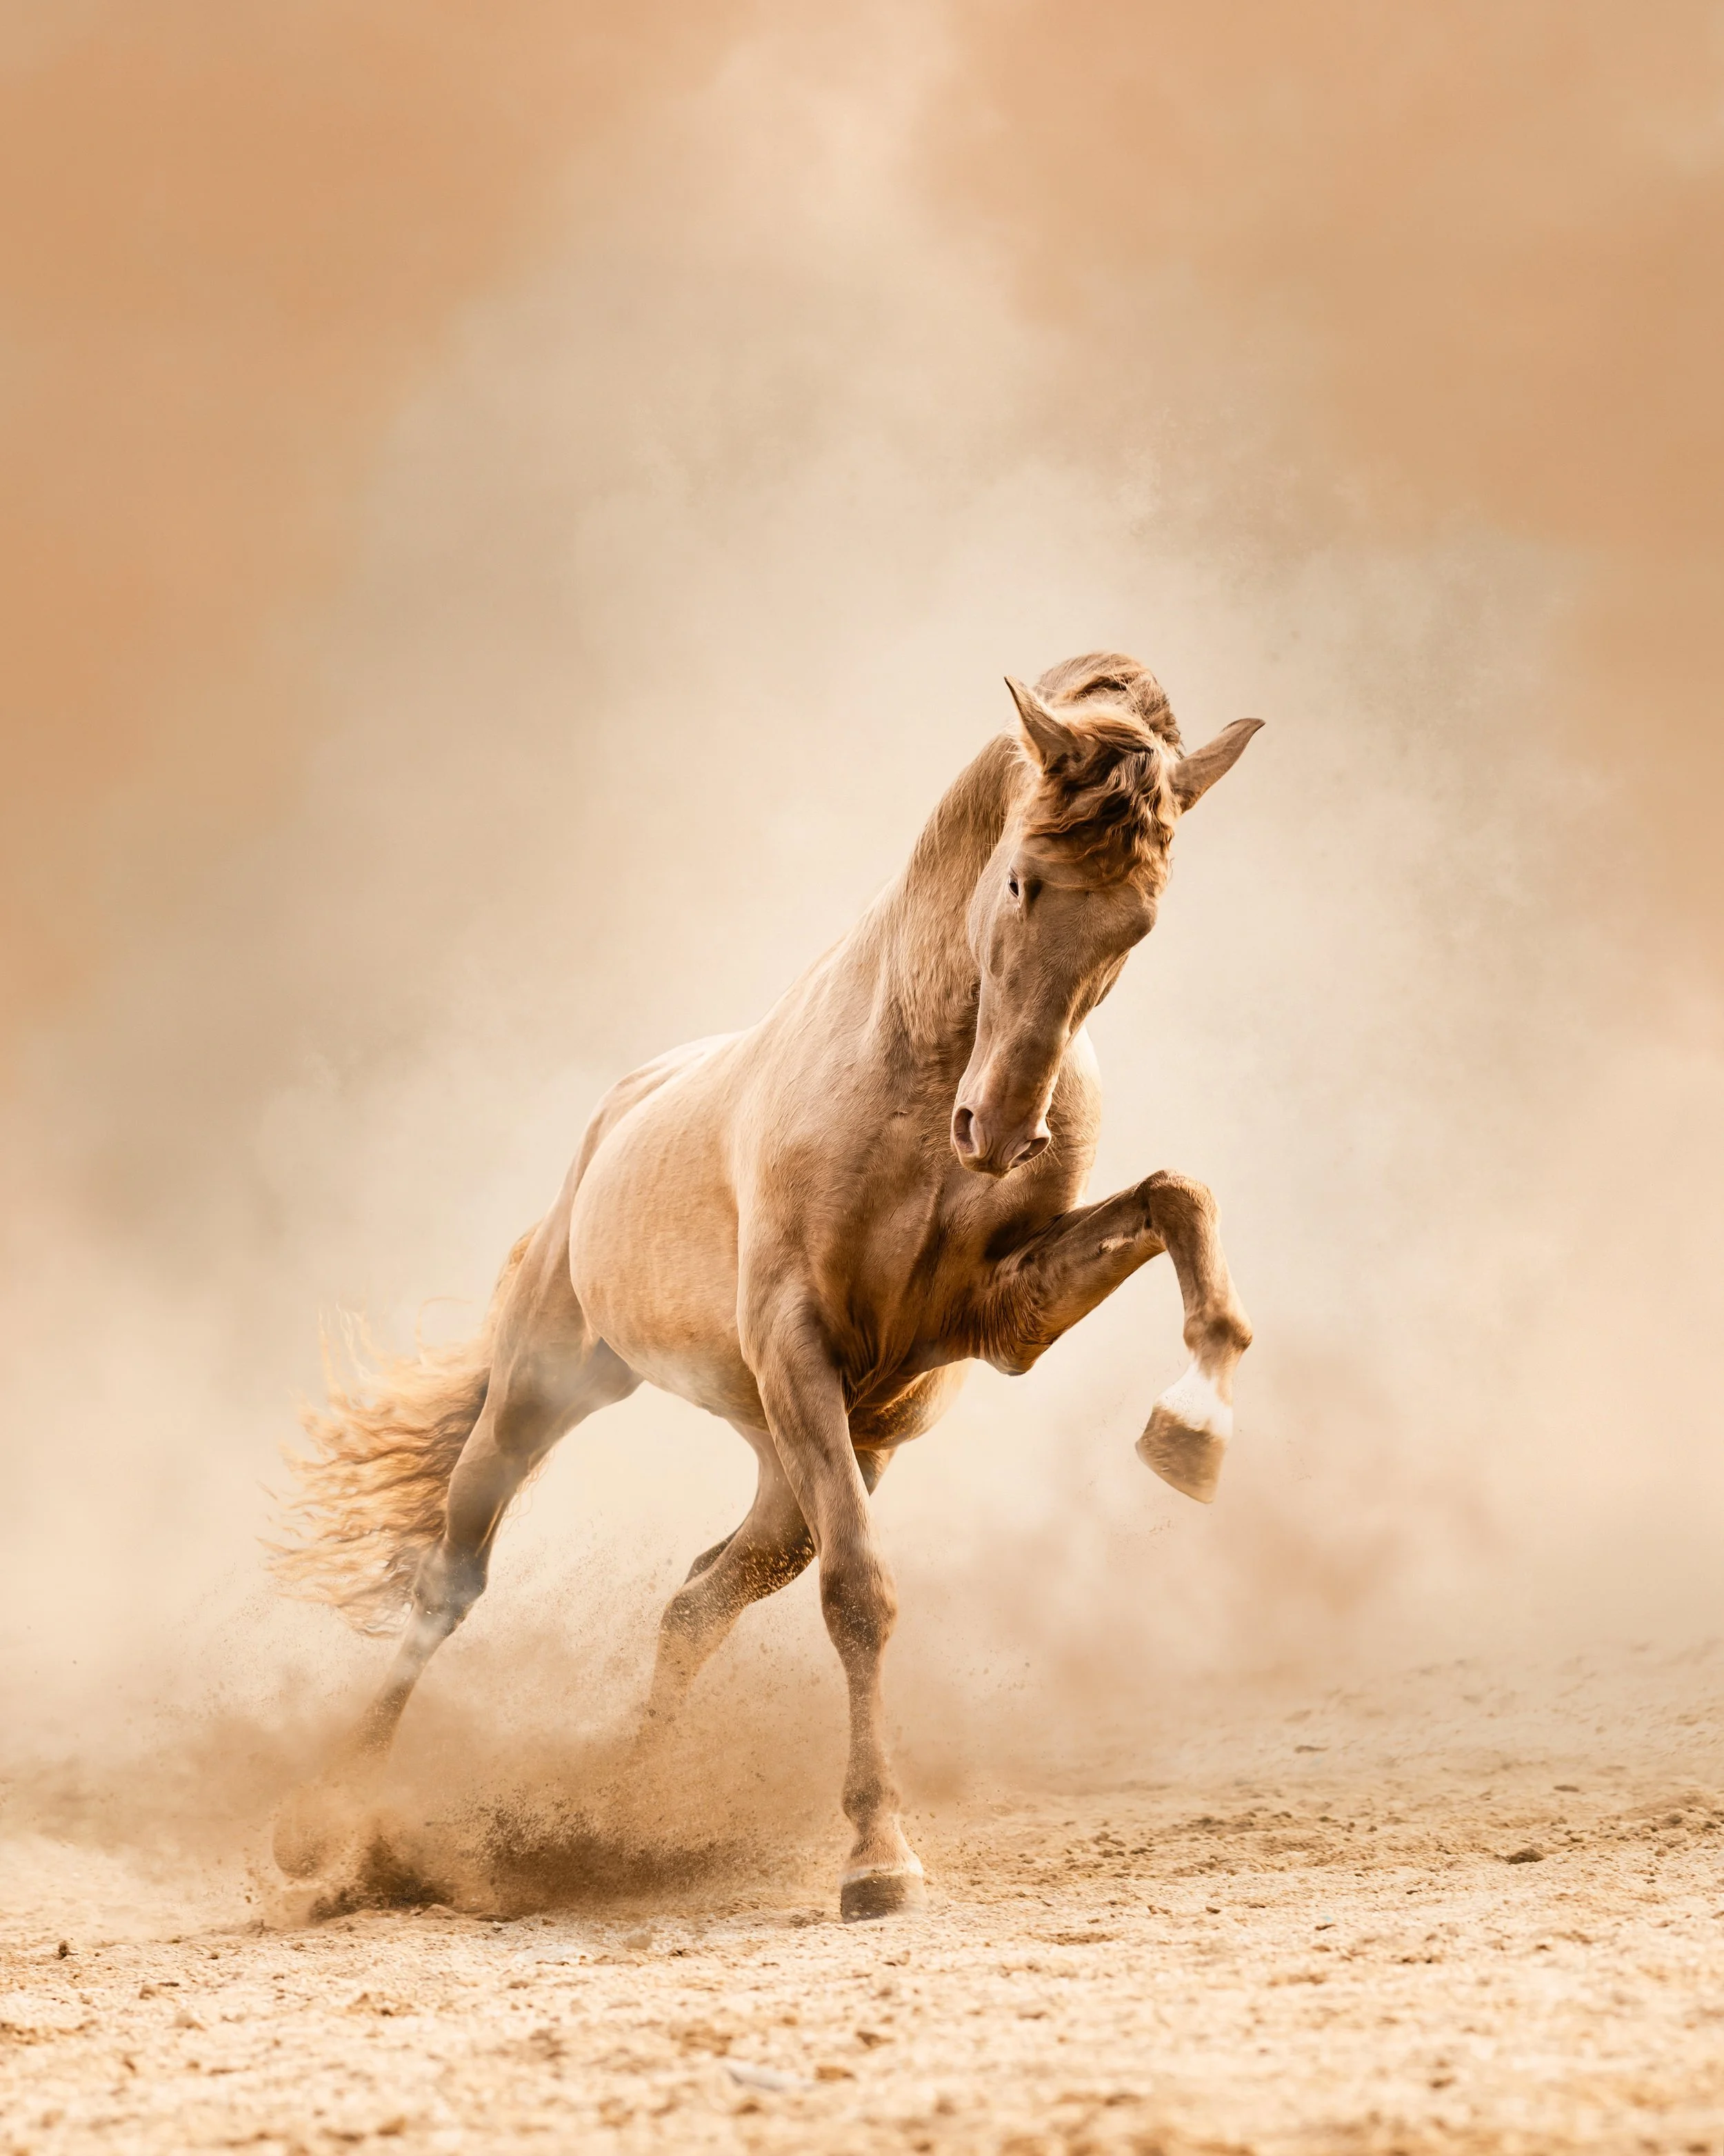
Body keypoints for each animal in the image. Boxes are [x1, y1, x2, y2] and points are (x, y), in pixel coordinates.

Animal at [270, 651, 1261, 1919]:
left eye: (1139, 922)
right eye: (1024, 881)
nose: (1000, 1131)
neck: (914, 1077)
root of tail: (619, 1108)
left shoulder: (998, 1321)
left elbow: (1182, 1196)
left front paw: (1192, 1430)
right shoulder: (800, 1345)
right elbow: (862, 1594)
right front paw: (880, 1861)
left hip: (807, 1458)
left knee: (697, 1596)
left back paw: (622, 1816)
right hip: (555, 1391)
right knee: (453, 1581)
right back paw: (324, 1833)